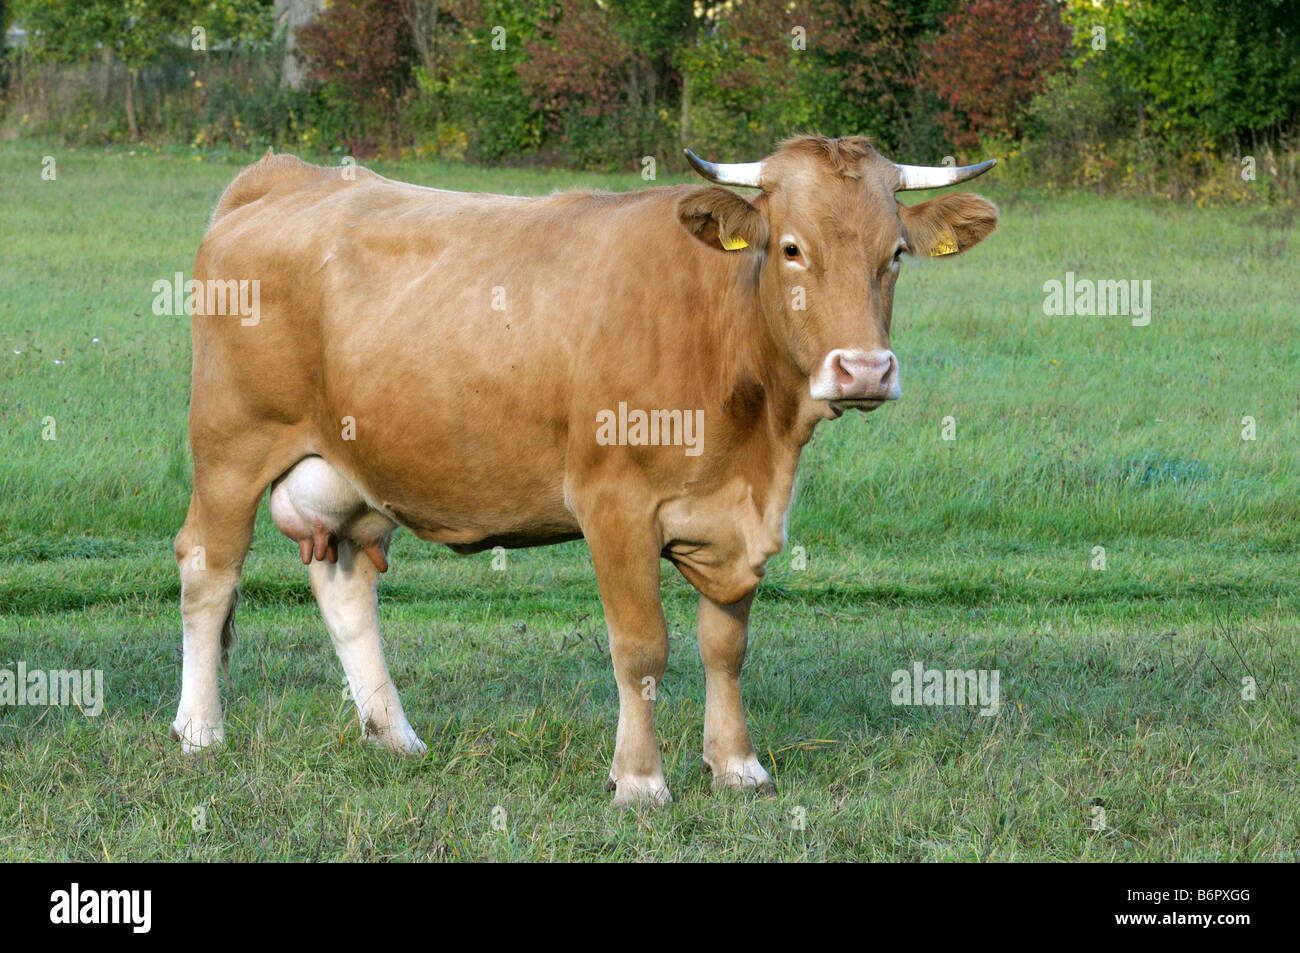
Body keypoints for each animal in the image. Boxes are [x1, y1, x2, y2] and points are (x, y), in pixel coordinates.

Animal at [172, 135, 997, 806]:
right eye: (792, 248)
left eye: (895, 254)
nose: (865, 370)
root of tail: (288, 175)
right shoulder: (615, 504)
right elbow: (641, 647)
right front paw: (639, 779)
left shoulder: (741, 516)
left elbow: (725, 646)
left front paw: (738, 766)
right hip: (231, 446)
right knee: (208, 569)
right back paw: (201, 730)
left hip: (348, 467)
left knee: (343, 585)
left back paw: (394, 734)